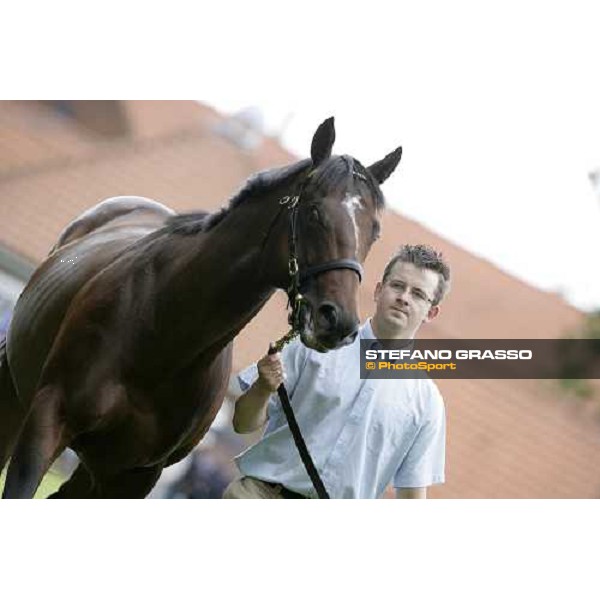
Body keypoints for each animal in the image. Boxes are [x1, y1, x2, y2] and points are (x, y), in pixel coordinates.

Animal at [1, 117, 404, 496]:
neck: (162, 332)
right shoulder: (47, 422)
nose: (338, 321)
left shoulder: (135, 475)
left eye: (374, 231)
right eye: (315, 212)